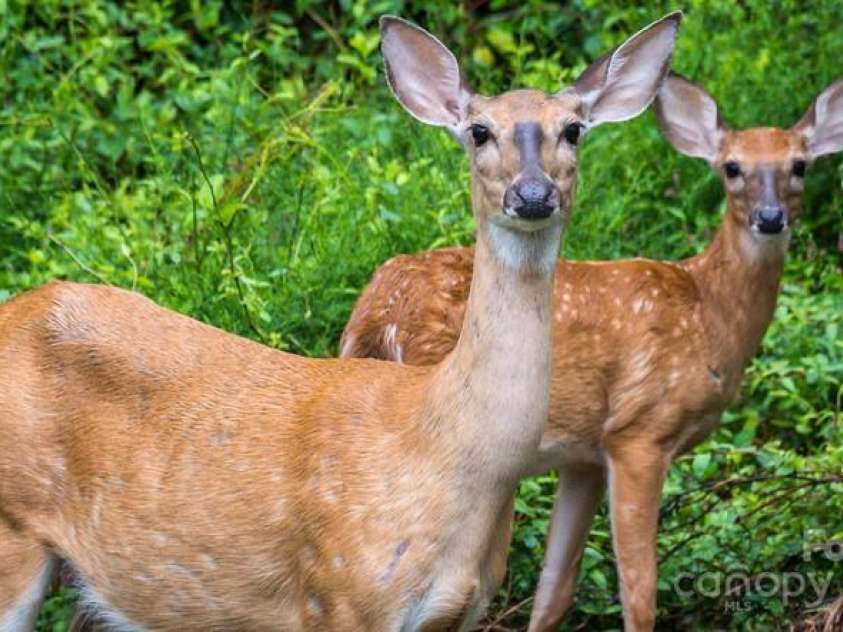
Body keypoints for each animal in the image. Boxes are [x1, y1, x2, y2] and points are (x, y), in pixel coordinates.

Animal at [0, 13, 681, 632]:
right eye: (480, 131)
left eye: (574, 130)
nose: (534, 194)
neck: (448, 450)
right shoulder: (342, 595)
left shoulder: (463, 611)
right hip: (13, 526)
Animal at [339, 72, 843, 631]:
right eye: (732, 167)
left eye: (799, 165)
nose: (770, 217)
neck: (710, 314)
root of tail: (377, 309)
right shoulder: (639, 431)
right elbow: (639, 591)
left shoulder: (584, 456)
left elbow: (556, 589)